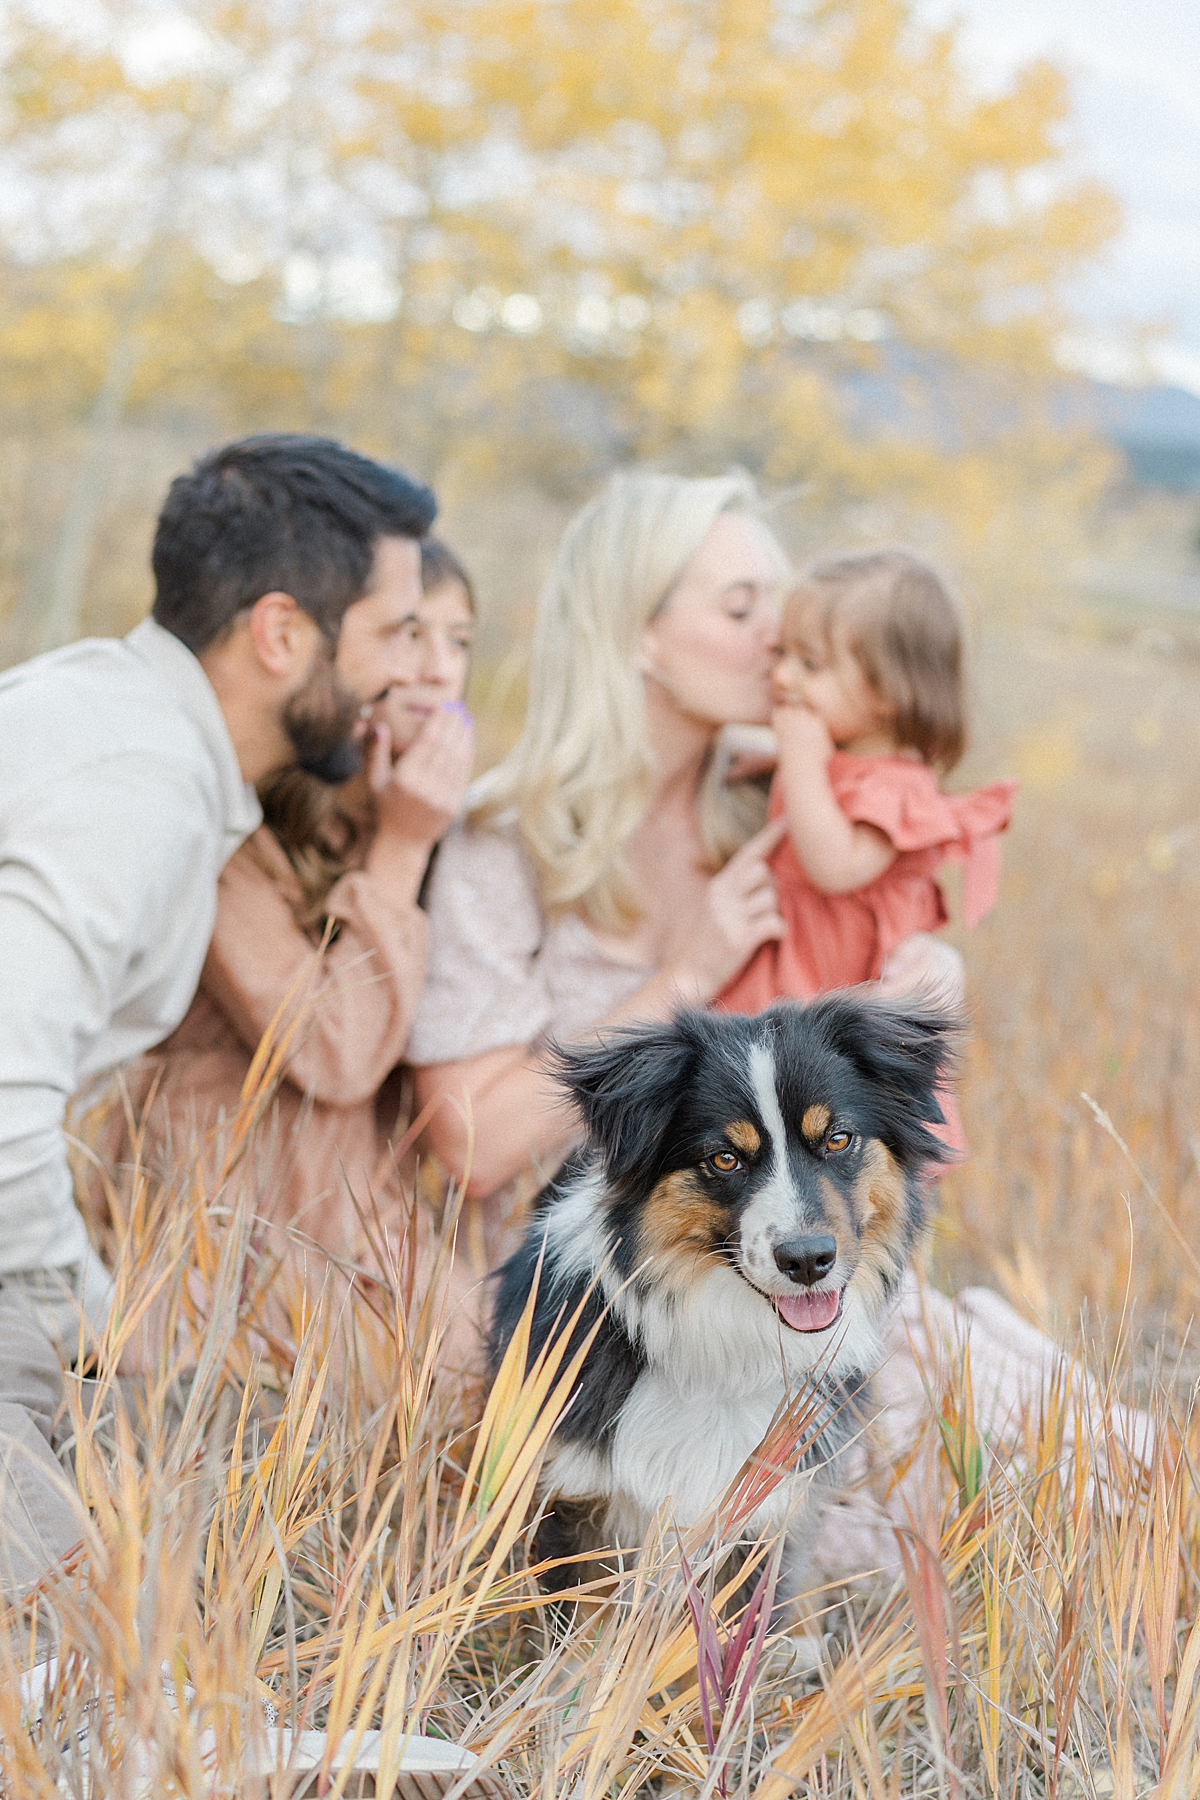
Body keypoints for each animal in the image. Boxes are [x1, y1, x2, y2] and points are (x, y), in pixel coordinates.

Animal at [489, 1000, 957, 1605]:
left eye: (837, 1139)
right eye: (726, 1159)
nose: (807, 1259)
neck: (725, 1354)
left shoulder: (767, 1515)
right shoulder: (568, 1496)